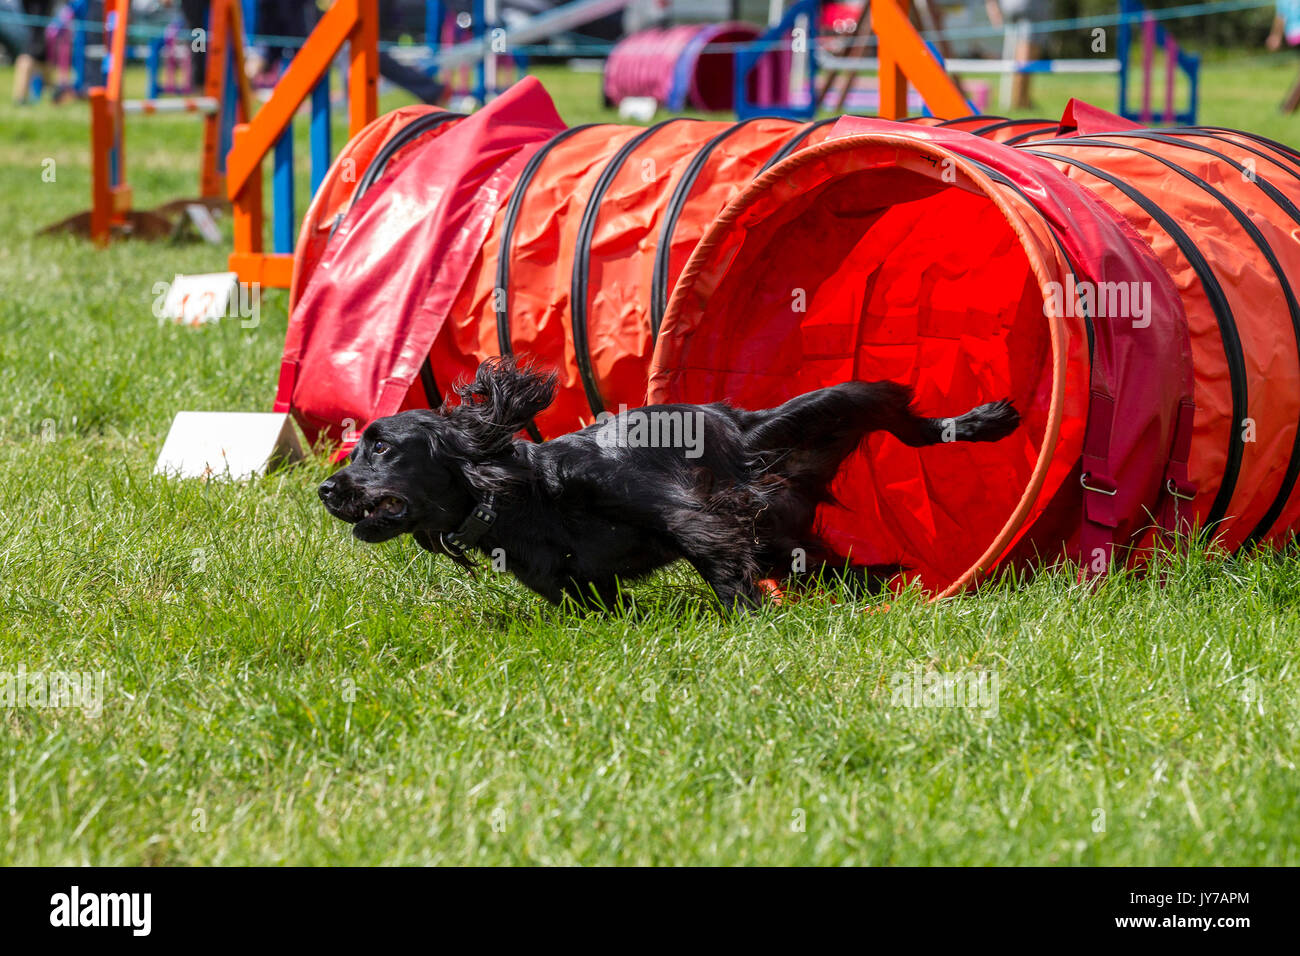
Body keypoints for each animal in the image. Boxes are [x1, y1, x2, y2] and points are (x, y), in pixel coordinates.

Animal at [319, 356, 1019, 608]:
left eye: (383, 448)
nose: (326, 491)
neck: (528, 493)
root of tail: (741, 424)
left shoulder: (681, 509)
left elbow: (714, 553)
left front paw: (747, 619)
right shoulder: (576, 590)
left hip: (839, 401)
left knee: (907, 417)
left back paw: (987, 420)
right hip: (789, 518)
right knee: (833, 564)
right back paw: (884, 581)